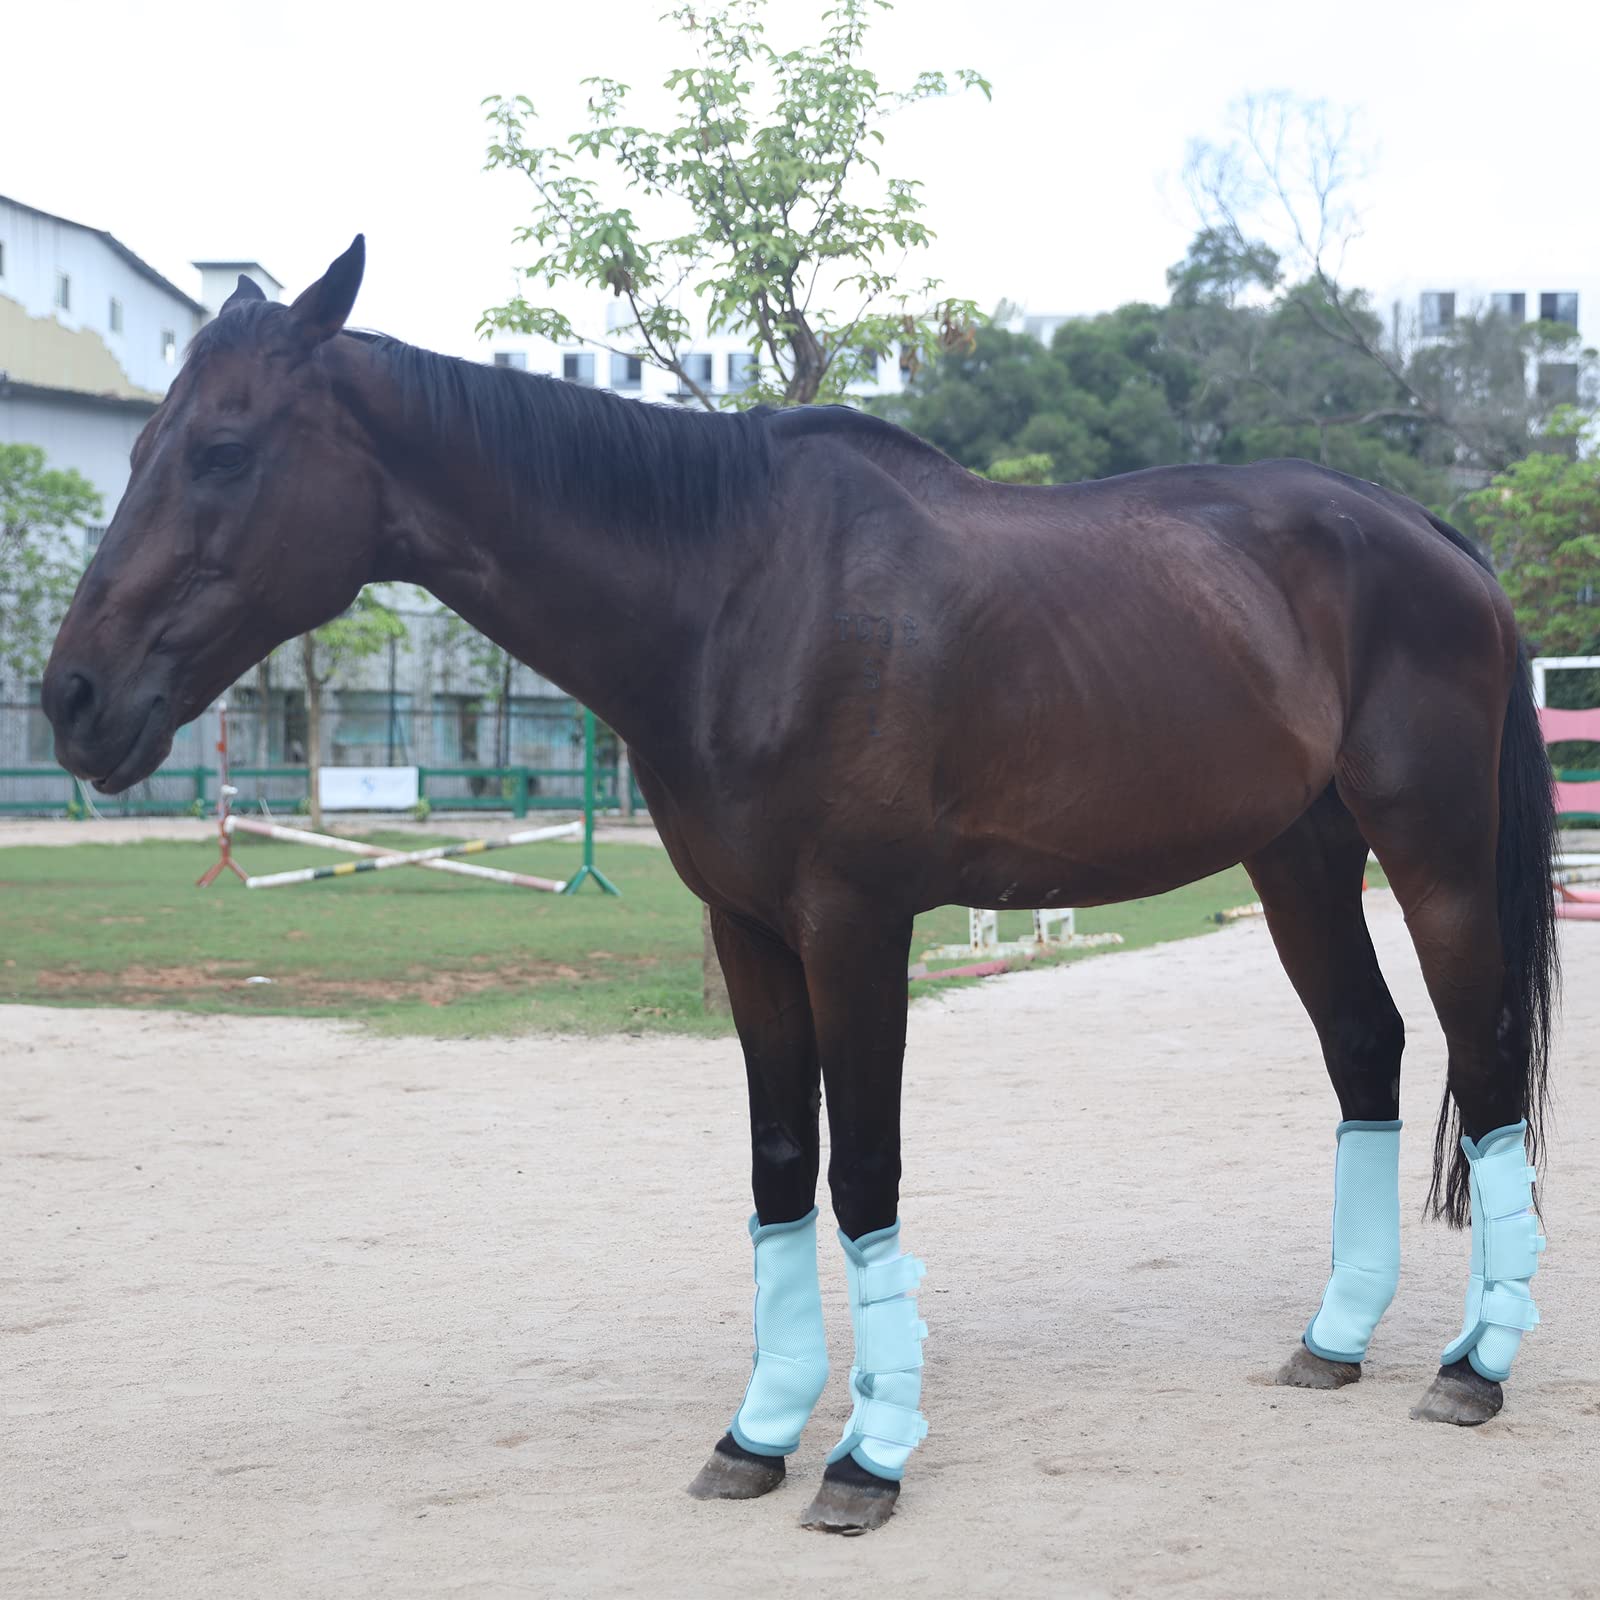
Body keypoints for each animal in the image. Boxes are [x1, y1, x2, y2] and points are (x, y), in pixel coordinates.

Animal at [42, 239, 1556, 1534]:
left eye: (224, 451)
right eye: (141, 447)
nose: (73, 700)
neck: (735, 593)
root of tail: (1432, 533)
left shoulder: (856, 926)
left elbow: (863, 1169)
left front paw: (865, 1459)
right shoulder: (750, 931)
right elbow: (779, 1167)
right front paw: (757, 1434)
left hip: (1430, 855)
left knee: (1483, 1065)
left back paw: (1471, 1369)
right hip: (1298, 857)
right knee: (1367, 1050)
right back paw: (1335, 1341)